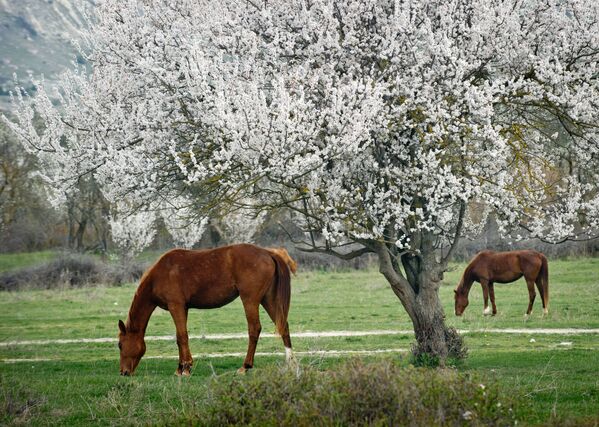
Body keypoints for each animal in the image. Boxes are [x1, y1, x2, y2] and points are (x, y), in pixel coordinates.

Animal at [116, 244, 294, 378]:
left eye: (120, 344)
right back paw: (291, 362)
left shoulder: (176, 306)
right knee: (283, 326)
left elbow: (182, 337)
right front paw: (180, 368)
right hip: (268, 300)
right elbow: (180, 337)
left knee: (254, 329)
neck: (160, 274)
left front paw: (186, 368)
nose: (124, 372)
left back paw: (245, 366)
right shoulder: (183, 308)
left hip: (250, 300)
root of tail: (268, 252)